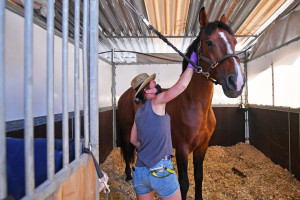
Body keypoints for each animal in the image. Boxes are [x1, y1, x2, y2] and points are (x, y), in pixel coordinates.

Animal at [116, 7, 245, 200]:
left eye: (234, 41)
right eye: (209, 43)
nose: (236, 82)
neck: (194, 106)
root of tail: (126, 94)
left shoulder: (202, 147)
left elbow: (199, 177)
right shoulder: (183, 149)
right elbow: (184, 183)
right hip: (125, 133)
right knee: (126, 151)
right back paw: (128, 175)